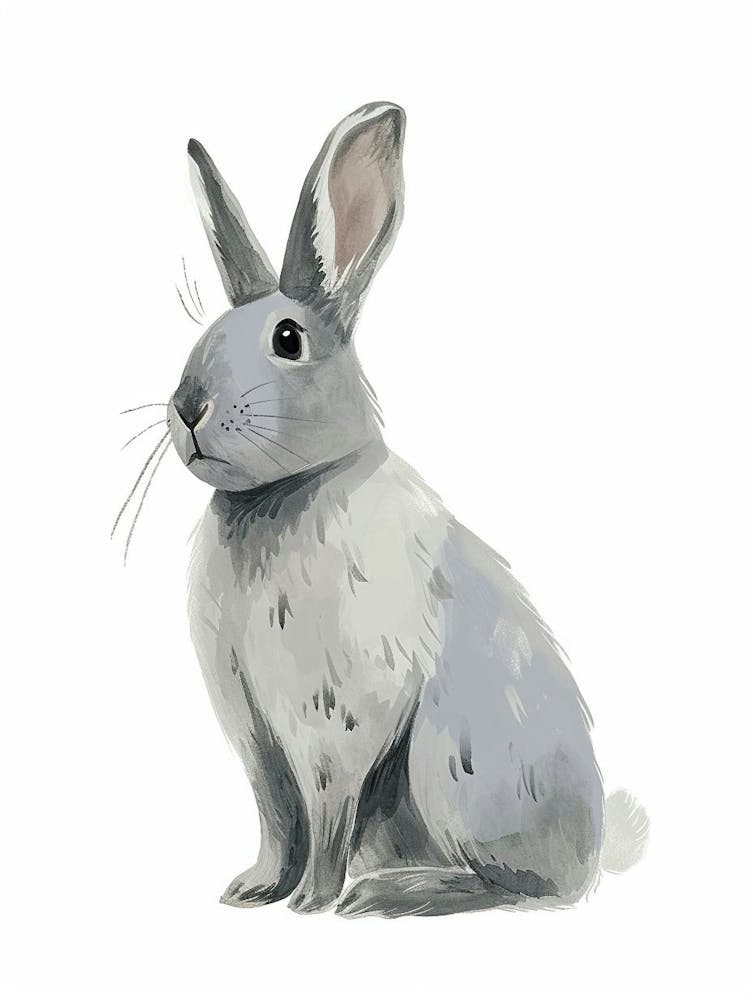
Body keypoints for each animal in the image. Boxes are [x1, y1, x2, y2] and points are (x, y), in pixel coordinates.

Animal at [167, 102, 648, 917]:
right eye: (201, 338)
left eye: (287, 340)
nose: (187, 406)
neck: (283, 494)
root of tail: (588, 856)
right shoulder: (256, 738)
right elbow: (275, 817)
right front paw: (253, 890)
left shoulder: (333, 726)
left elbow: (325, 811)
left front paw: (310, 901)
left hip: (446, 761)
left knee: (510, 888)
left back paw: (392, 892)